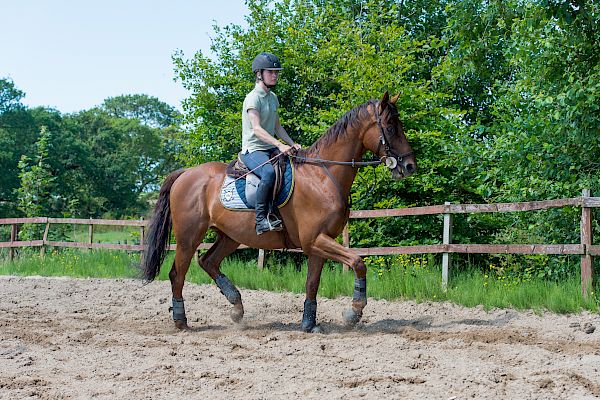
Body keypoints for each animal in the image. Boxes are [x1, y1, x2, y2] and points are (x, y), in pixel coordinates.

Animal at [142, 92, 414, 332]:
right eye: (390, 127)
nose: (410, 166)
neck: (323, 176)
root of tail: (185, 173)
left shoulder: (318, 243)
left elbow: (312, 282)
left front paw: (309, 324)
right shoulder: (315, 240)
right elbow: (358, 262)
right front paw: (353, 313)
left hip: (230, 236)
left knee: (207, 261)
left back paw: (236, 307)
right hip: (189, 237)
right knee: (177, 274)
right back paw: (181, 321)